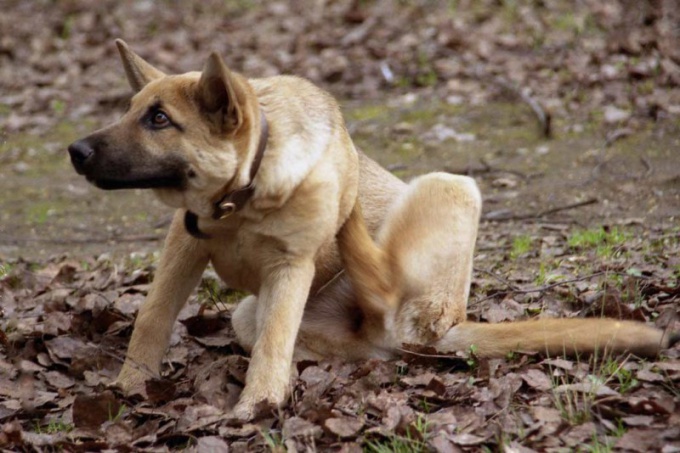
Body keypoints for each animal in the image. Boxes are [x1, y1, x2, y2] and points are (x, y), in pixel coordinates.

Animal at [66, 40, 676, 418]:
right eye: (133, 111)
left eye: (159, 120)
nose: (75, 151)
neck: (239, 199)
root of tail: (447, 328)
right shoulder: (184, 246)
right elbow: (153, 318)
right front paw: (128, 388)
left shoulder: (290, 267)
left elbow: (270, 345)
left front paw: (254, 408)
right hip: (255, 315)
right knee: (344, 346)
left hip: (452, 187)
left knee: (380, 288)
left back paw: (354, 218)